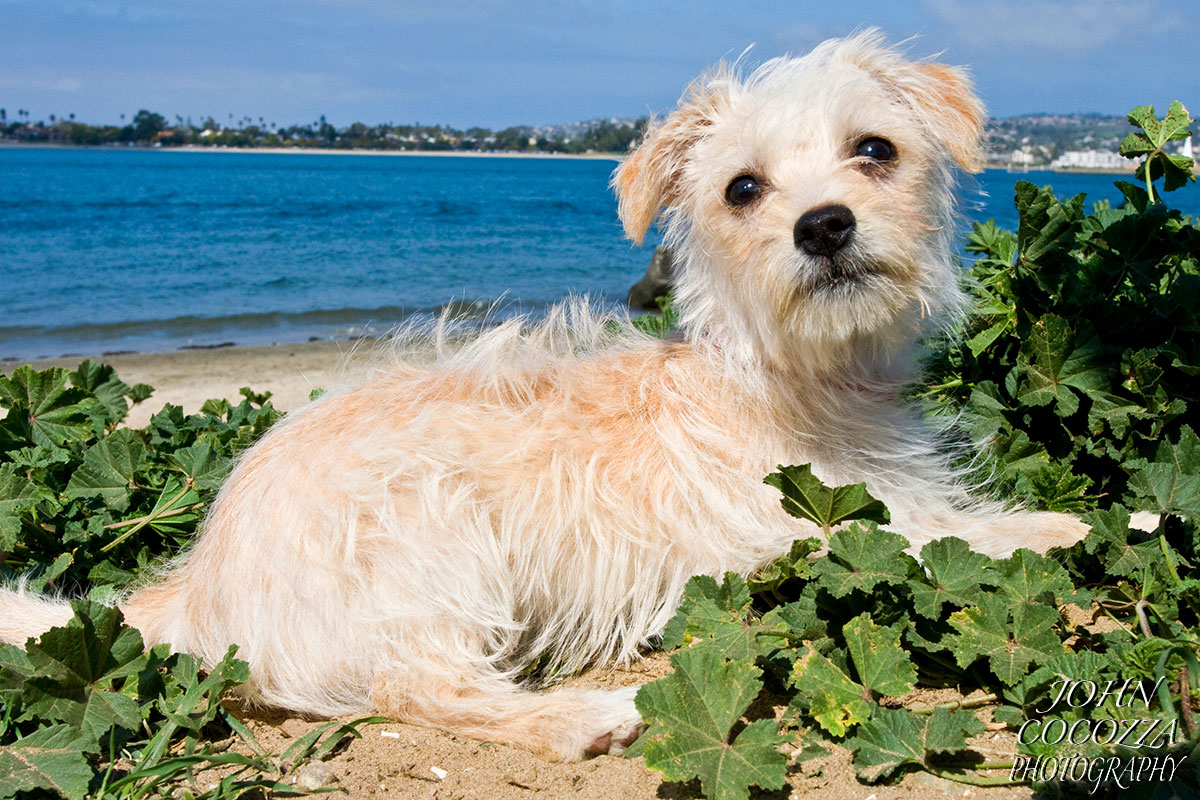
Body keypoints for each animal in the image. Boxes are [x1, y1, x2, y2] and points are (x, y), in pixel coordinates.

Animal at [0, 31, 1089, 762]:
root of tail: (200, 580)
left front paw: (1052, 519)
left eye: (875, 150)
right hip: (430, 537)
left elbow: (962, 522)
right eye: (742, 189)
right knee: (416, 684)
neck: (792, 370)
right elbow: (950, 540)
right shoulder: (802, 531)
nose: (824, 225)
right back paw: (578, 717)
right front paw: (1071, 525)